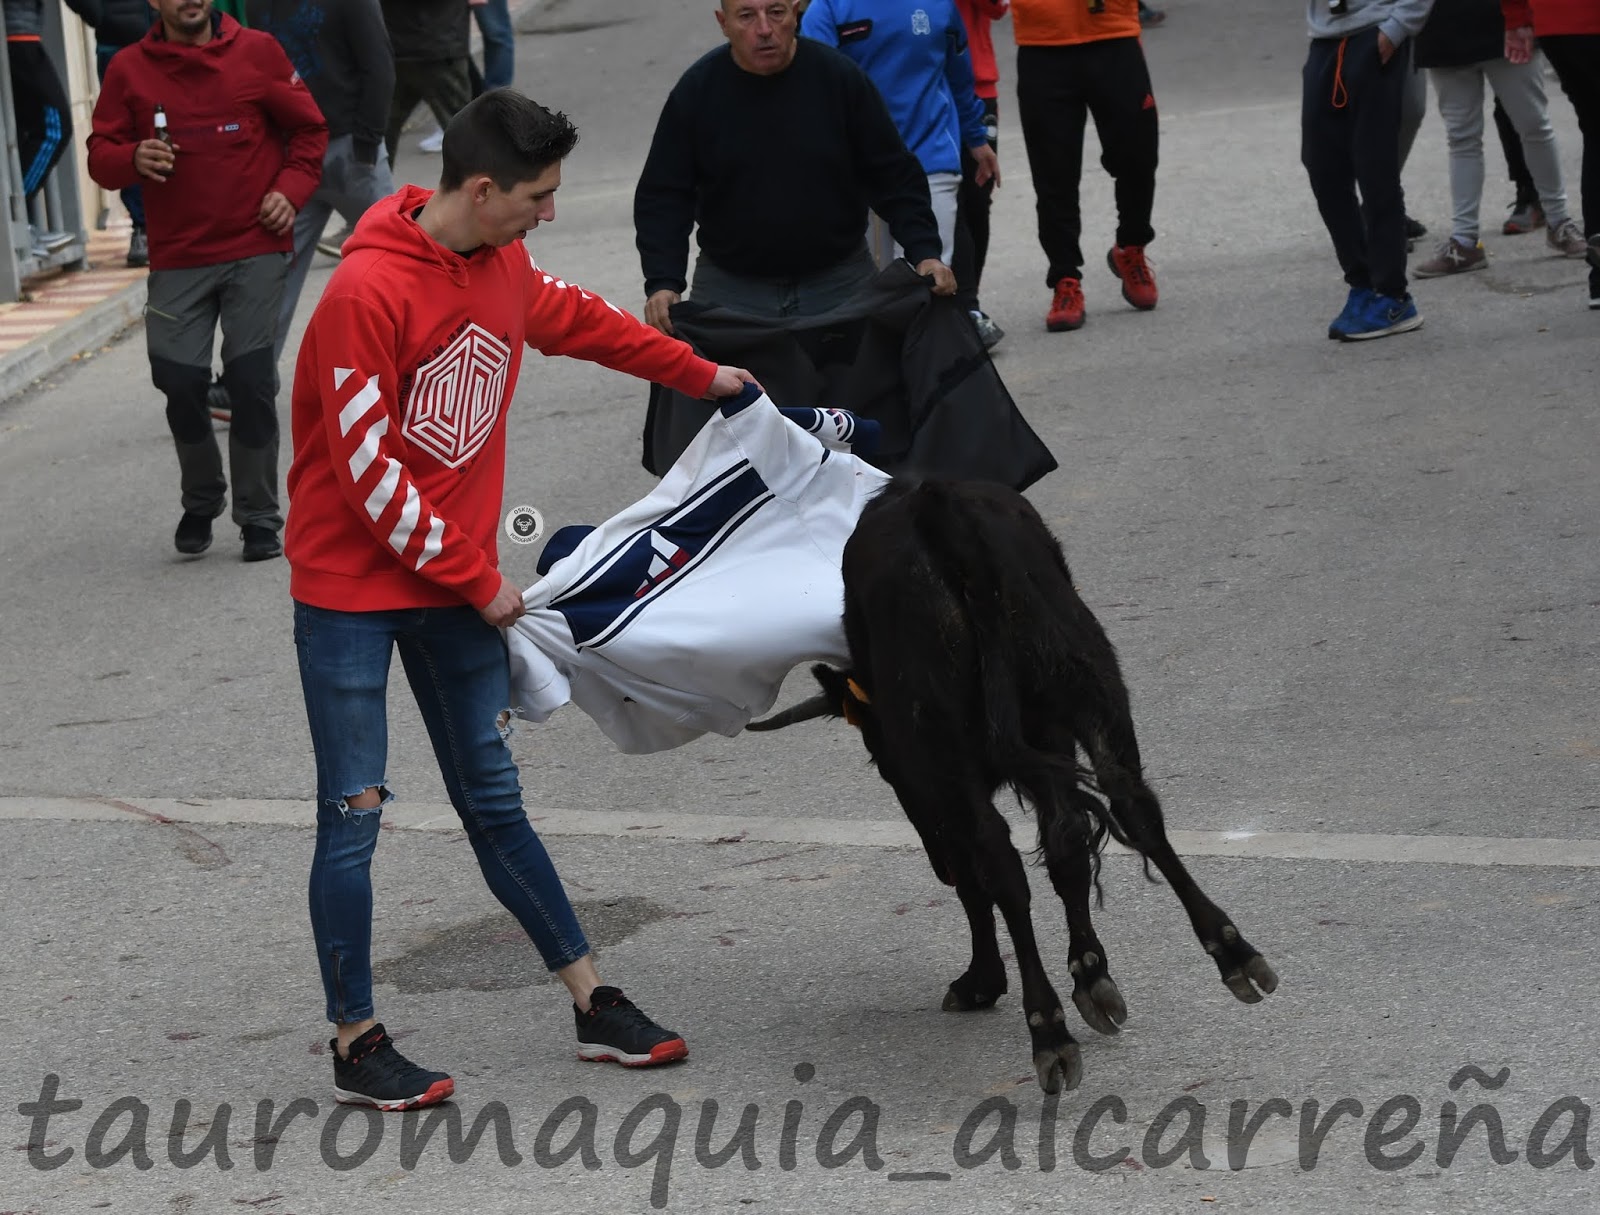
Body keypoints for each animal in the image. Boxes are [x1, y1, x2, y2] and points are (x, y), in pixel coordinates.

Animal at [748, 479, 1279, 1093]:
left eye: (879, 758)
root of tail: (936, 509)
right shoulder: (1049, 740)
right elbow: (1068, 844)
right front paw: (1090, 972)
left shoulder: (931, 783)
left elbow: (976, 877)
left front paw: (984, 981)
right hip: (1088, 678)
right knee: (1131, 804)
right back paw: (1233, 954)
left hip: (944, 742)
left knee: (998, 861)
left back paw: (1048, 1030)